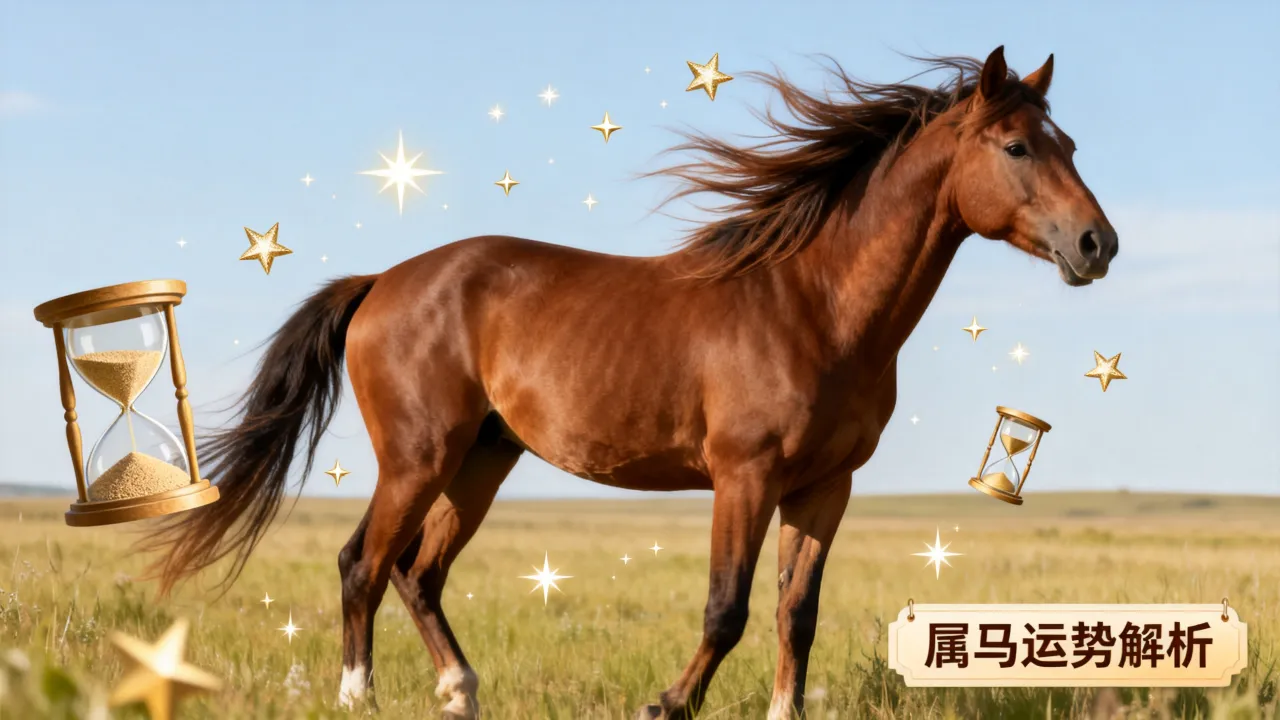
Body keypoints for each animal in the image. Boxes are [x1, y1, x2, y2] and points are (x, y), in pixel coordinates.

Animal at [142, 46, 1117, 719]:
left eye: (1071, 141)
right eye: (1017, 145)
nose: (1097, 245)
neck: (815, 305)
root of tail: (383, 281)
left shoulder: (824, 487)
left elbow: (794, 613)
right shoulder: (744, 476)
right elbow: (726, 609)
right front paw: (666, 704)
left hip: (482, 460)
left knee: (419, 574)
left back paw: (461, 690)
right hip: (418, 459)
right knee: (363, 564)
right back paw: (359, 698)